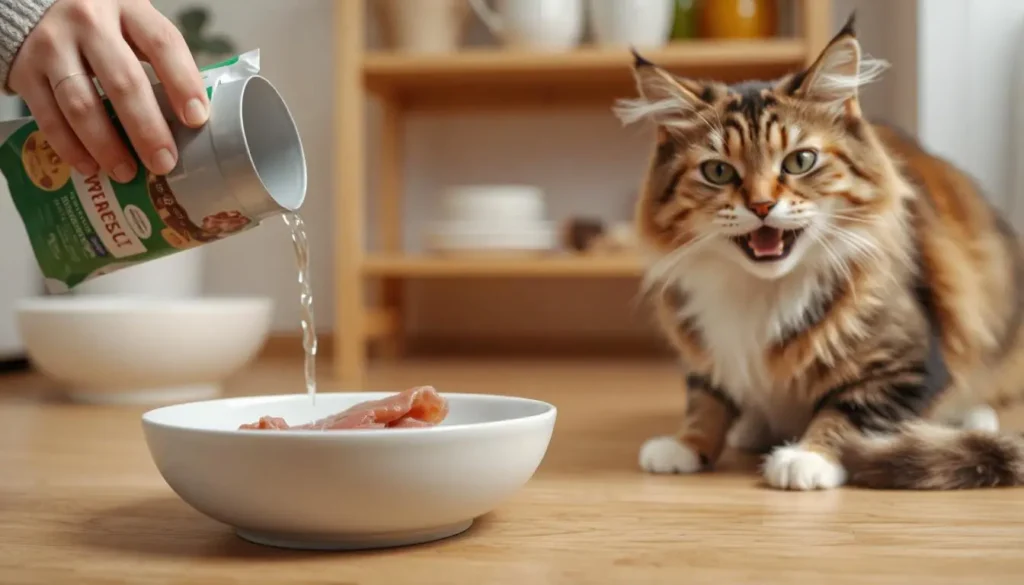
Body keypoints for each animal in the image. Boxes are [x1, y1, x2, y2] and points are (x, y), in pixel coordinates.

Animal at [610, 14, 1024, 489]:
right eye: (718, 171)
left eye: (799, 161)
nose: (761, 206)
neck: (761, 291)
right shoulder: (705, 348)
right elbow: (706, 400)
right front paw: (684, 445)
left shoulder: (905, 365)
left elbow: (847, 412)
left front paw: (806, 457)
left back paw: (972, 417)